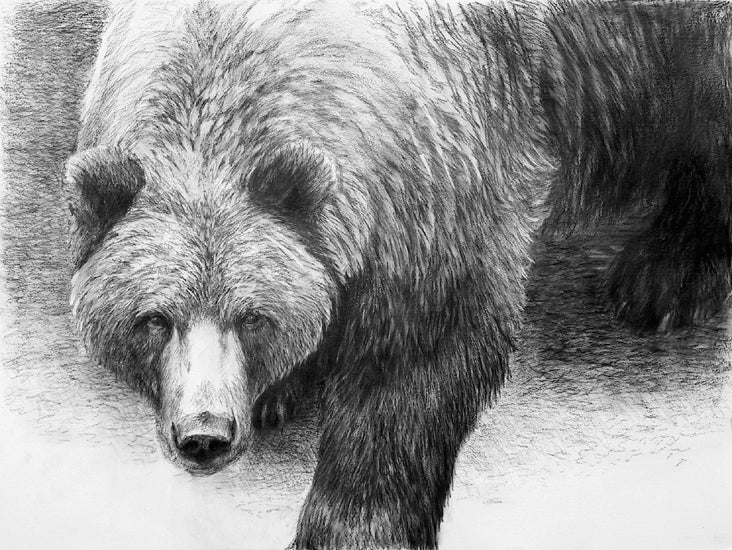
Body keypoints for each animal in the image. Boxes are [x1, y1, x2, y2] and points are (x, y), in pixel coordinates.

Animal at [63, 0, 732, 548]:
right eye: (154, 319)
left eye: (252, 317)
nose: (205, 434)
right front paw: (283, 389)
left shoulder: (439, 173)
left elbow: (413, 362)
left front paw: (352, 529)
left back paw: (668, 273)